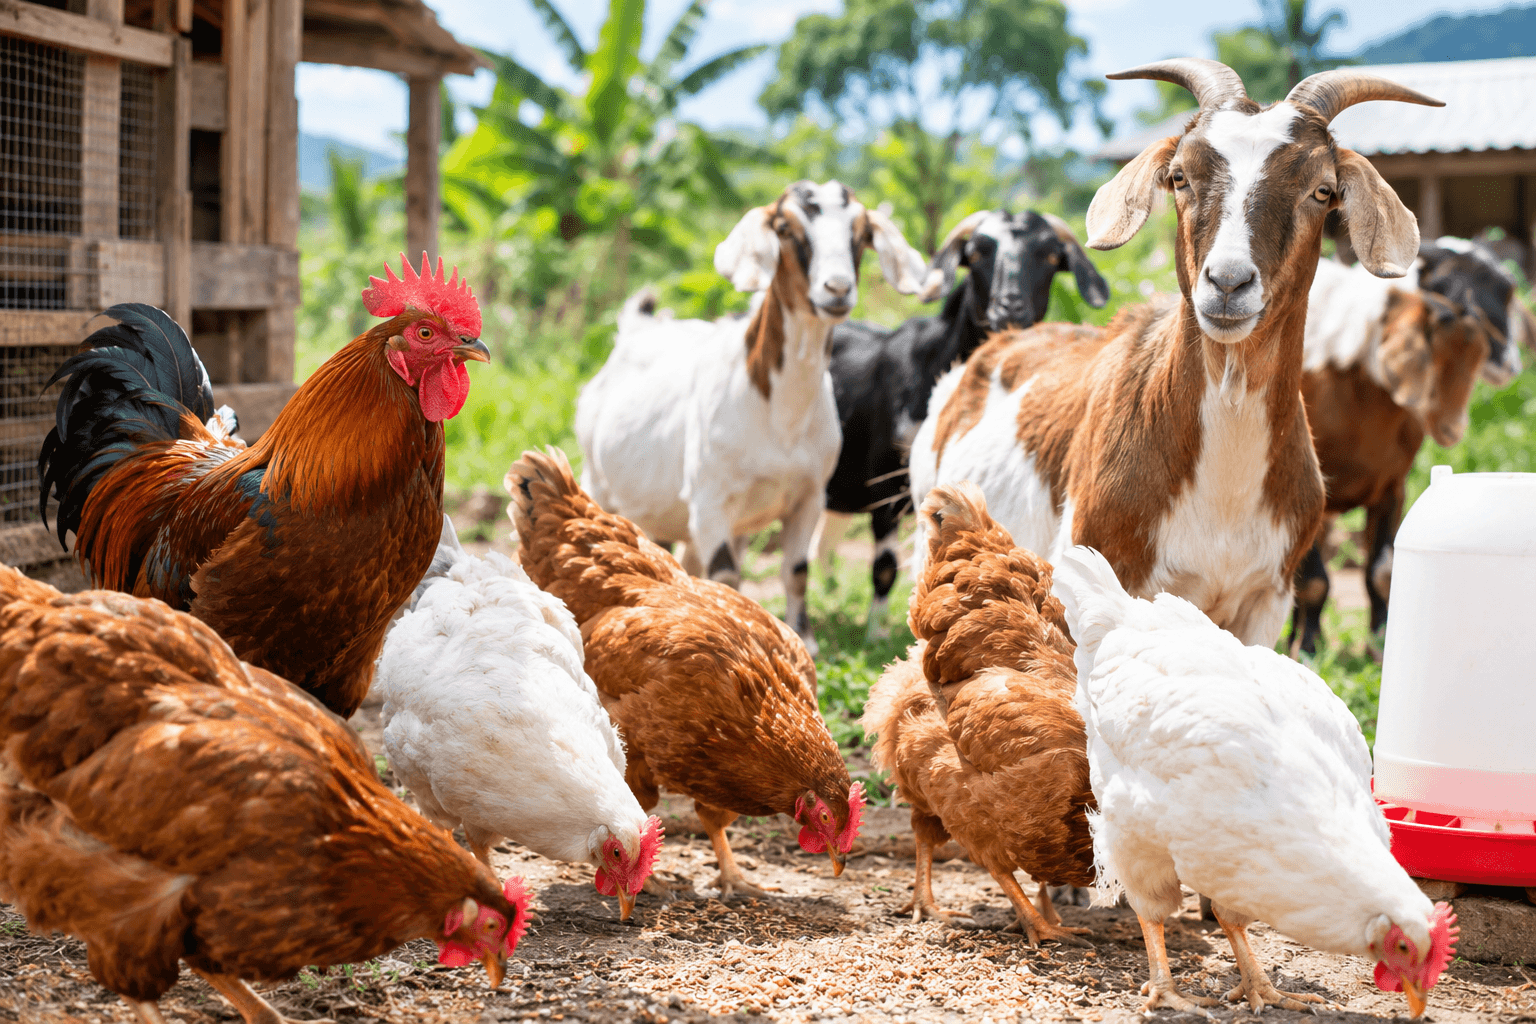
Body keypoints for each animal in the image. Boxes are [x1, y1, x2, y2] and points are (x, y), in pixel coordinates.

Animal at [575, 180, 927, 655]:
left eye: (861, 233)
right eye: (785, 228)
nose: (836, 289)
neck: (780, 417)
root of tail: (633, 332)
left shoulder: (808, 495)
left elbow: (795, 571)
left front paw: (804, 641)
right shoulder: (709, 499)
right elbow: (727, 576)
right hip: (600, 483)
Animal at [818, 210, 1108, 638]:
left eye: (1051, 256)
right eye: (976, 253)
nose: (1010, 308)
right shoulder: (886, 484)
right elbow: (884, 568)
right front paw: (877, 636)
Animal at [1288, 258, 1488, 654]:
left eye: (1474, 357)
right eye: (1432, 357)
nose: (1454, 428)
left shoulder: (1392, 488)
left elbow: (1381, 573)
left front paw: (1379, 645)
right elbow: (1315, 581)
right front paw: (1308, 653)